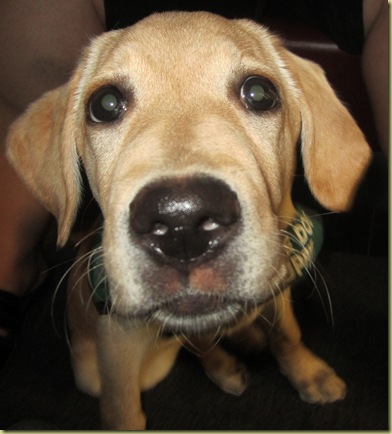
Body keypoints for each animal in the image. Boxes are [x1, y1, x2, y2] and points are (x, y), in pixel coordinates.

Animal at [6, 11, 370, 430]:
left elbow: (288, 335)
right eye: (106, 104)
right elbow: (122, 411)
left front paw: (308, 373)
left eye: (259, 93)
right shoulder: (115, 347)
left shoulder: (280, 278)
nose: (183, 224)